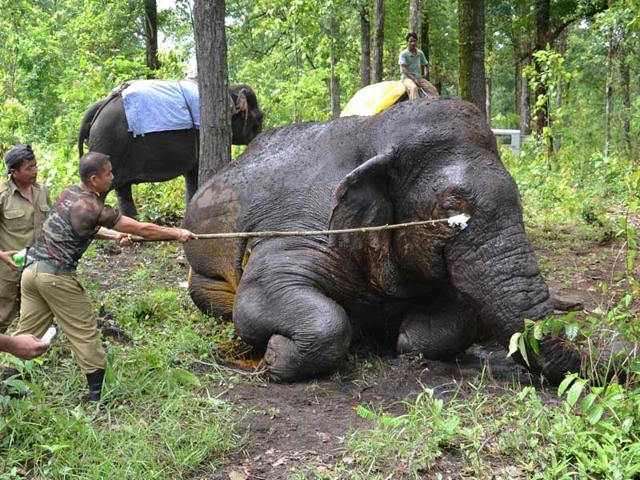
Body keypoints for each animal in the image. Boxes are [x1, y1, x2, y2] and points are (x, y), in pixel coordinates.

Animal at [78, 83, 263, 217]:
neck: (230, 92)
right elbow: (194, 174)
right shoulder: (199, 137)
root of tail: (100, 106)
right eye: (260, 117)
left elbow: (191, 176)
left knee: (122, 189)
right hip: (107, 145)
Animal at [183, 97, 583, 384]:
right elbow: (256, 299)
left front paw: (400, 336)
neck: (373, 133)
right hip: (203, 267)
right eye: (452, 209)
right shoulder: (299, 227)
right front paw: (275, 356)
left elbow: (462, 310)